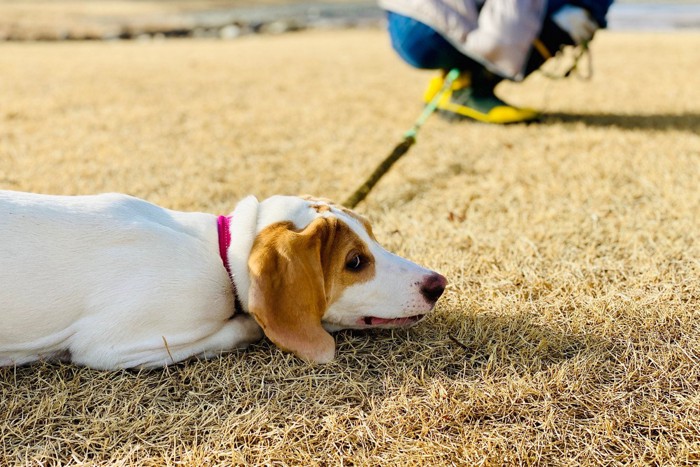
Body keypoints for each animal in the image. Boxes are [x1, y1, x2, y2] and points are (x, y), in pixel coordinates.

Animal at [0, 190, 446, 370]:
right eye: (354, 261)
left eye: (374, 234)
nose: (438, 284)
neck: (219, 255)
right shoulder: (110, 347)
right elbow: (243, 327)